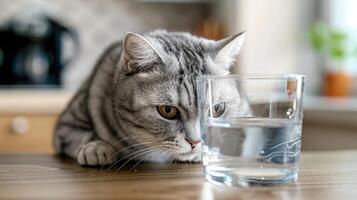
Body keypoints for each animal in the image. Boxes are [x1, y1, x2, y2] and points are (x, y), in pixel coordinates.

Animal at [54, 29, 245, 166]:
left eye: (216, 109)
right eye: (168, 110)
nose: (196, 141)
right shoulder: (66, 125)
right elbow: (82, 135)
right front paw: (96, 147)